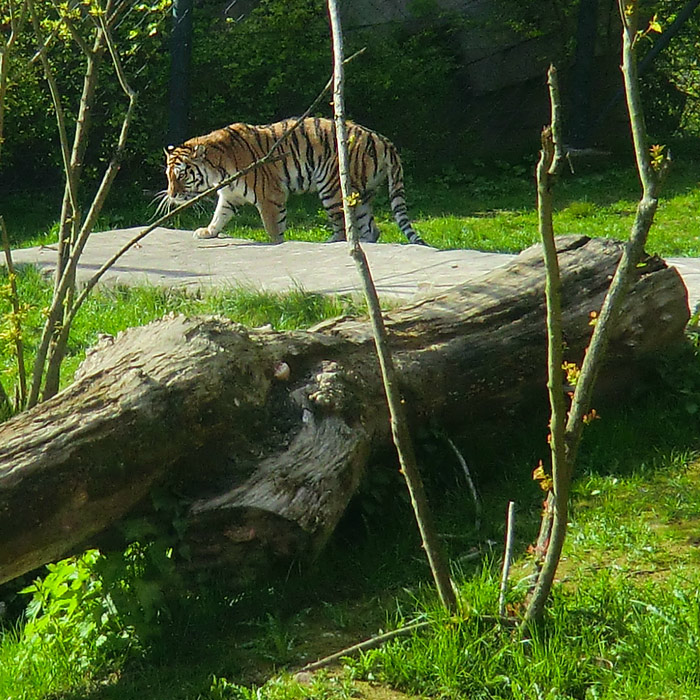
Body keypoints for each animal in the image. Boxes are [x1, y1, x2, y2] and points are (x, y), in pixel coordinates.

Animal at [163, 115, 426, 246]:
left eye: (181, 175)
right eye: (168, 176)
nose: (172, 195)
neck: (219, 170)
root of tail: (382, 139)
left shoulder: (270, 196)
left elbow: (273, 228)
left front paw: (276, 244)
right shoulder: (229, 196)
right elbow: (220, 215)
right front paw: (208, 231)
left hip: (333, 189)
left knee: (344, 226)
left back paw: (331, 243)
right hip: (361, 195)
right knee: (371, 229)